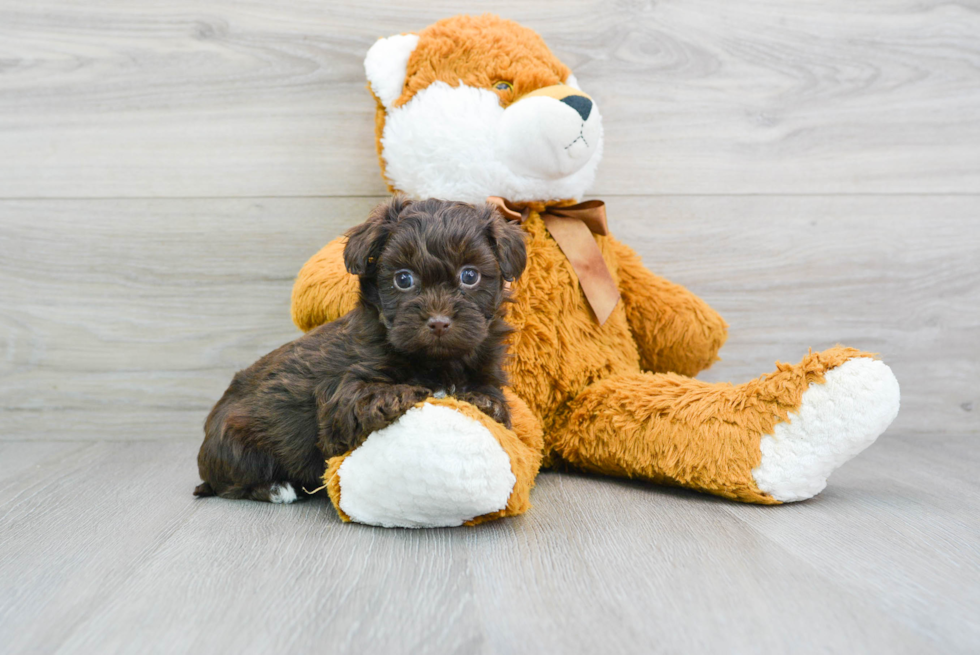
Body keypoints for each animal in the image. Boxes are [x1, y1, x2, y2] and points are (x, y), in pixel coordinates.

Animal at [193, 197, 528, 504]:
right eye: (403, 279)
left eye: (469, 276)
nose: (438, 322)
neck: (436, 361)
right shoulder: (341, 396)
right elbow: (367, 397)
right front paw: (409, 391)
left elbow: (493, 399)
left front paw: (482, 402)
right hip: (236, 439)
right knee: (233, 484)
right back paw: (277, 488)